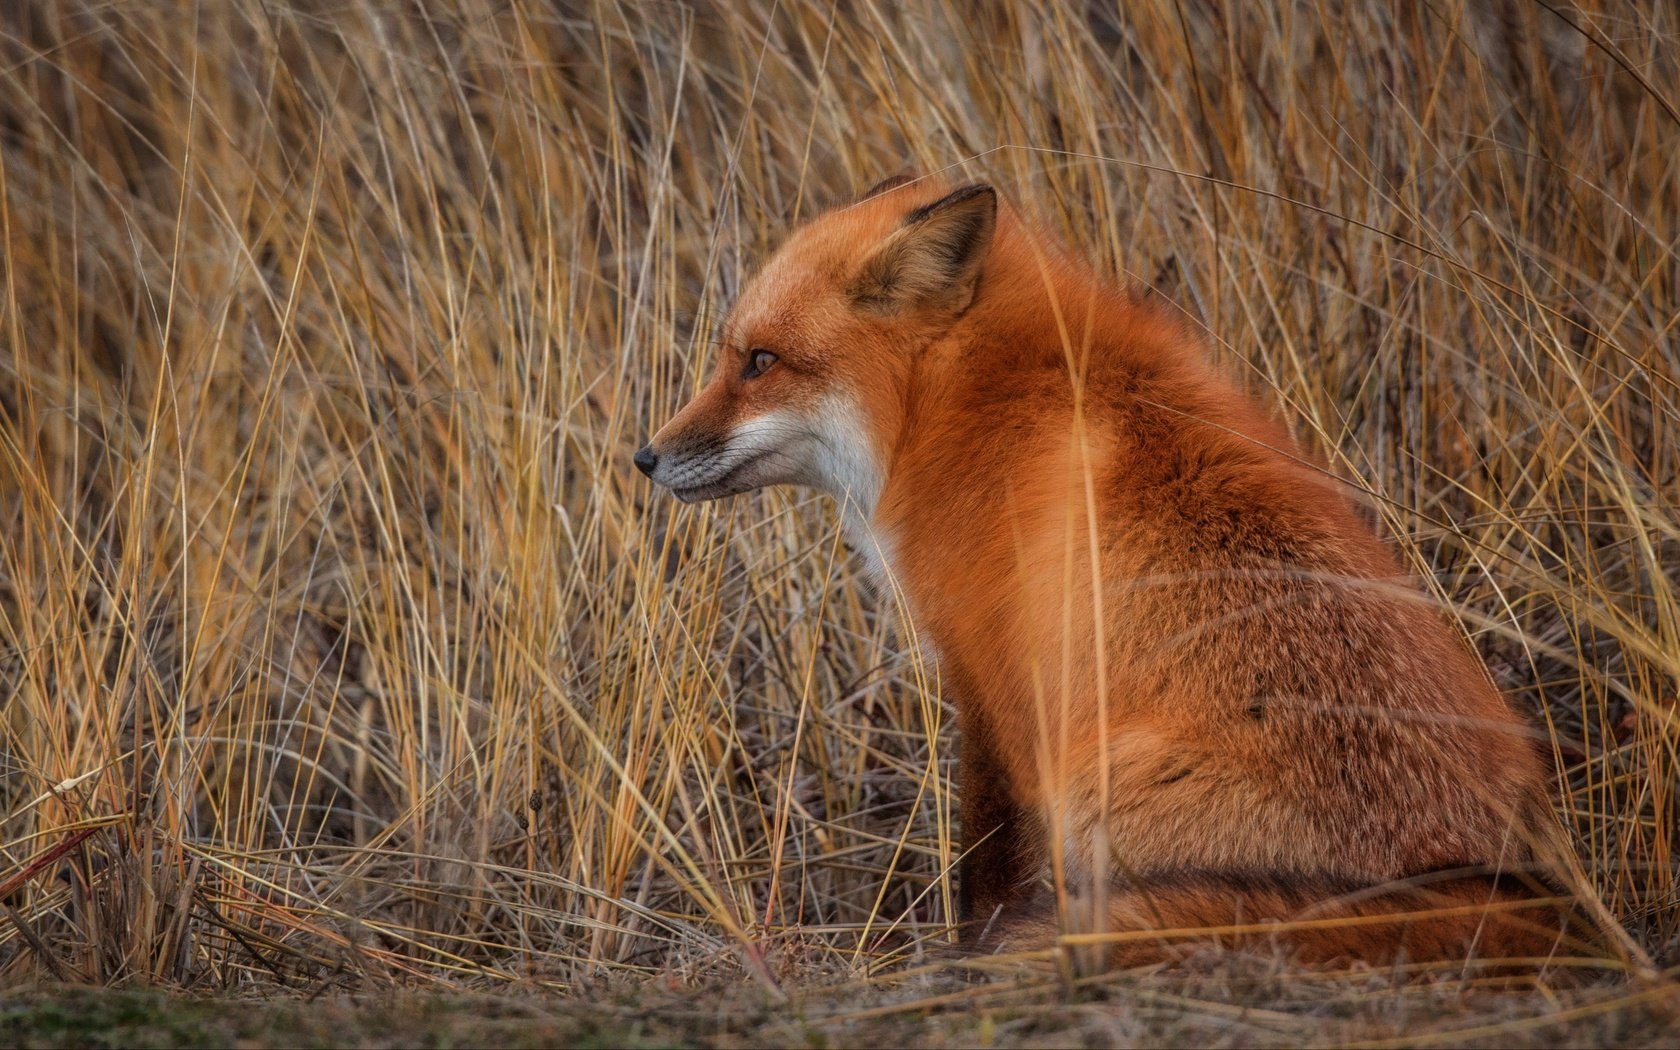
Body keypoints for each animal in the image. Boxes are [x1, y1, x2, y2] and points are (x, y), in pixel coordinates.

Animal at [638, 173, 1585, 967]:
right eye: (735, 356)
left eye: (760, 362)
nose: (646, 457)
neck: (959, 402)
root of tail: (1514, 896)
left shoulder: (996, 679)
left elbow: (986, 860)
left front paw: (965, 957)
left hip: (1100, 783)